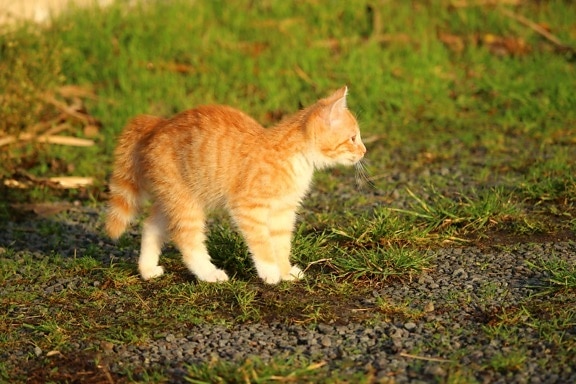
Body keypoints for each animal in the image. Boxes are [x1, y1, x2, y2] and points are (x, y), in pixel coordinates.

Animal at [104, 88, 364, 284]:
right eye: (353, 138)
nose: (364, 151)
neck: (294, 156)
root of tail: (158, 123)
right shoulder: (247, 206)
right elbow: (262, 242)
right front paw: (270, 272)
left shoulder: (283, 211)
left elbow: (281, 243)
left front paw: (285, 270)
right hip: (185, 200)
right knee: (186, 238)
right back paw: (209, 274)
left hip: (171, 195)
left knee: (151, 225)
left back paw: (147, 270)